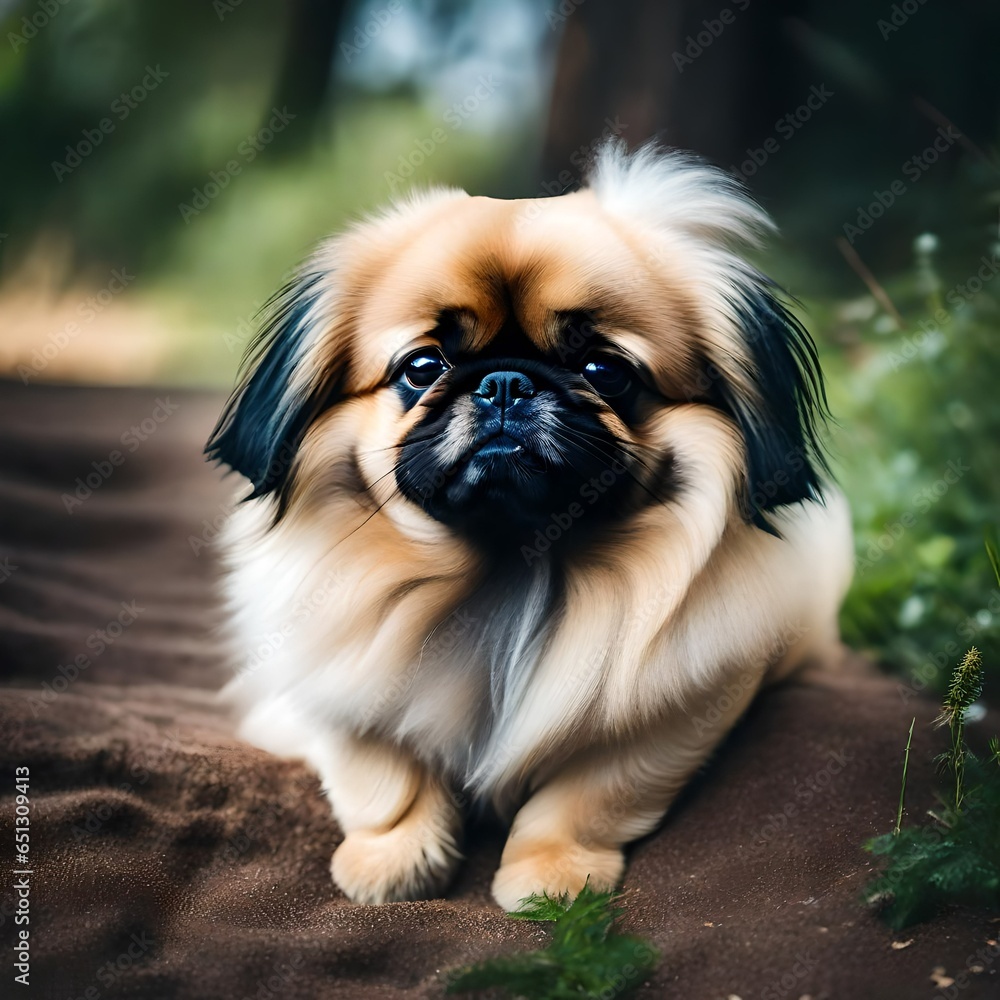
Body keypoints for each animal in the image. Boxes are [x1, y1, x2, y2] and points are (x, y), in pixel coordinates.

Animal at [209, 143, 852, 916]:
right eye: (422, 367)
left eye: (604, 369)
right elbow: (381, 771)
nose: (506, 384)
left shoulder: (675, 713)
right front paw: (393, 857)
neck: (514, 568)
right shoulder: (329, 689)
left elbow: (586, 793)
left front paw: (551, 878)